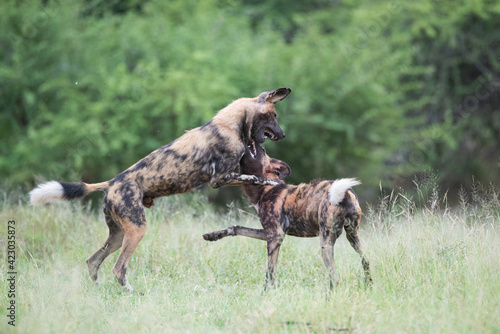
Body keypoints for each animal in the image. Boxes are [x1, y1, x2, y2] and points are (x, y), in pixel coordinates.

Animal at [29, 88, 292, 292]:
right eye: (274, 116)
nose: (283, 135)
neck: (230, 125)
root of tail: (112, 182)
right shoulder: (219, 179)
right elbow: (255, 177)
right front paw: (272, 182)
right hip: (136, 230)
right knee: (118, 268)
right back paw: (132, 293)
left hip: (118, 235)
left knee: (93, 261)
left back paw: (99, 291)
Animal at [203, 144, 372, 290]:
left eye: (262, 150)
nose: (259, 144)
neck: (264, 189)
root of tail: (345, 193)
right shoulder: (268, 233)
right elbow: (236, 228)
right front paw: (213, 235)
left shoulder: (276, 236)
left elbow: (270, 272)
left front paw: (266, 293)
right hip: (353, 237)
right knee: (366, 260)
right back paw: (369, 287)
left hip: (326, 243)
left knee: (335, 278)